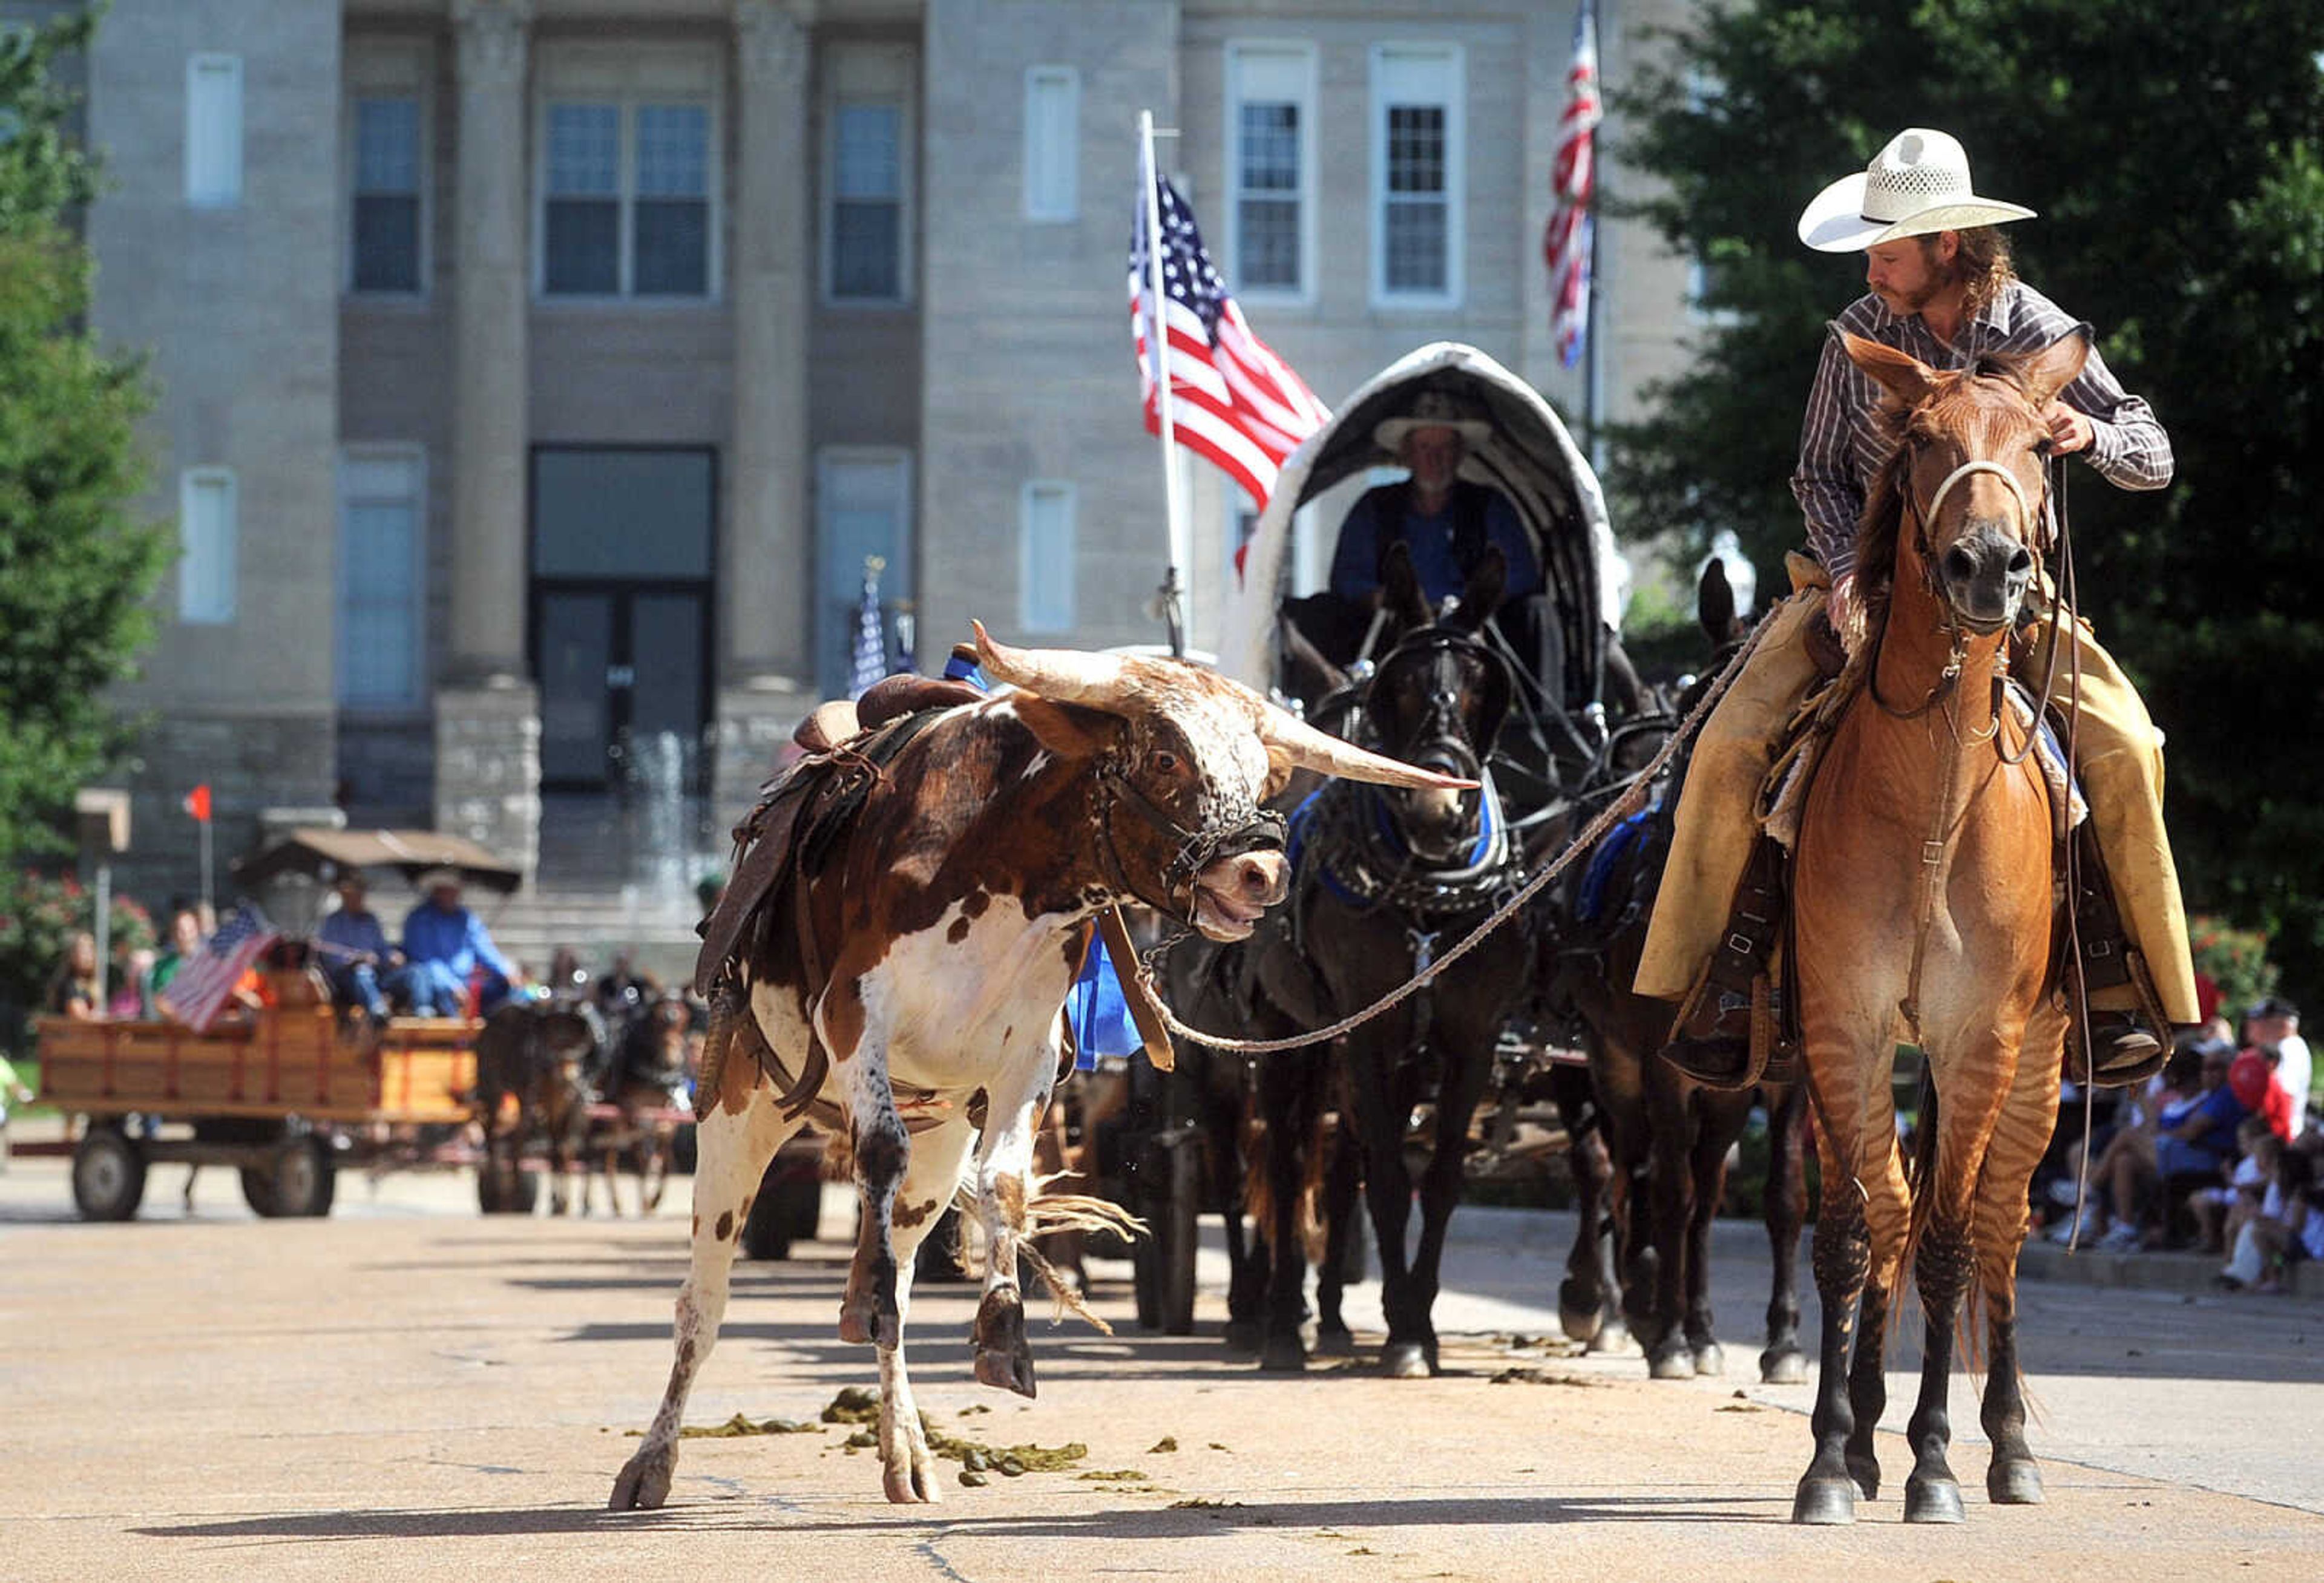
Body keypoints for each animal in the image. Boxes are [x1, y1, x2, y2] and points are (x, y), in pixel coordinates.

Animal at [1775, 330, 2092, 1515]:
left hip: (2039, 1067)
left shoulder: (1981, 1040)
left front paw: (1940, 1462)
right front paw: (1832, 1458)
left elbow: (1955, 1243)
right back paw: (1868, 1436)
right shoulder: (1842, 1028)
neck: (1935, 803)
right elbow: (1853, 1230)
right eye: (1918, 440)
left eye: (2042, 445)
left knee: (1999, 1226)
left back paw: (2008, 1449)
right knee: (1895, 1210)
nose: (1989, 566)